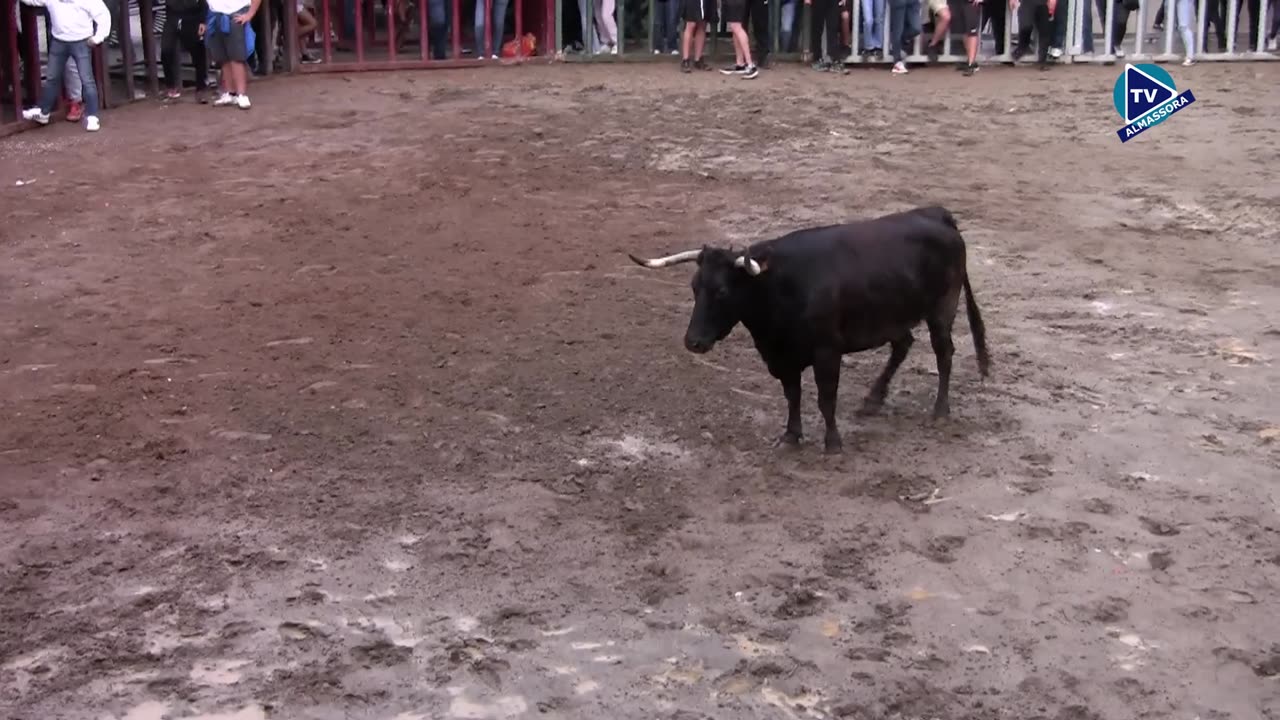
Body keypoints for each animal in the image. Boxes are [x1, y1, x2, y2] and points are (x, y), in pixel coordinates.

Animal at [628, 205, 990, 455]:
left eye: (722, 291)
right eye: (694, 287)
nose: (693, 342)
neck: (779, 287)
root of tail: (935, 214)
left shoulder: (827, 352)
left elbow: (825, 398)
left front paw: (832, 442)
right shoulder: (780, 355)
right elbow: (793, 395)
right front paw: (791, 435)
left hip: (942, 309)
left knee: (944, 353)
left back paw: (940, 411)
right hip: (893, 317)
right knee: (903, 345)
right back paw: (872, 400)